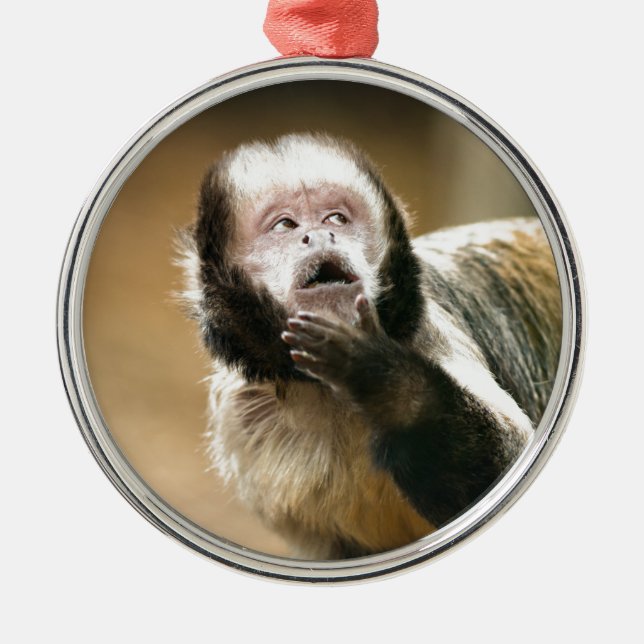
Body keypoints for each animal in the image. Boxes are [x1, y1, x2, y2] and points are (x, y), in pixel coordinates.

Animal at [179, 132, 562, 560]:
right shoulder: (242, 413)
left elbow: (503, 464)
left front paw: (379, 377)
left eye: (335, 219)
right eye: (285, 225)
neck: (329, 389)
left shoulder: (429, 331)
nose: (319, 235)